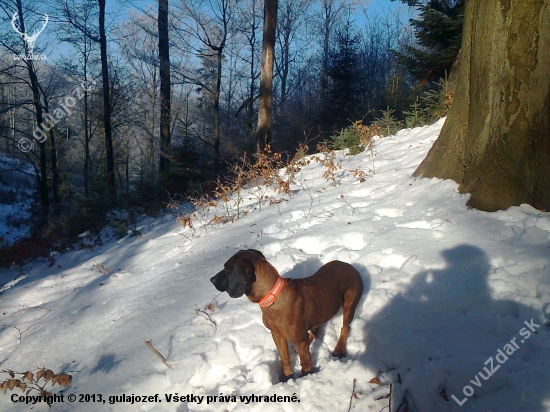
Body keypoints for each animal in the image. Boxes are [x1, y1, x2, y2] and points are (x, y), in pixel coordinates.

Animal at [212, 249, 366, 378]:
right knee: (316, 329)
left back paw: (339, 348)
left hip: (349, 304)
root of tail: (349, 265)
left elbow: (305, 362)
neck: (272, 296)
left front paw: (306, 375)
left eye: (227, 269)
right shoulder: (277, 335)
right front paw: (287, 377)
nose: (211, 279)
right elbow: (284, 358)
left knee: (345, 327)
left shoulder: (298, 338)